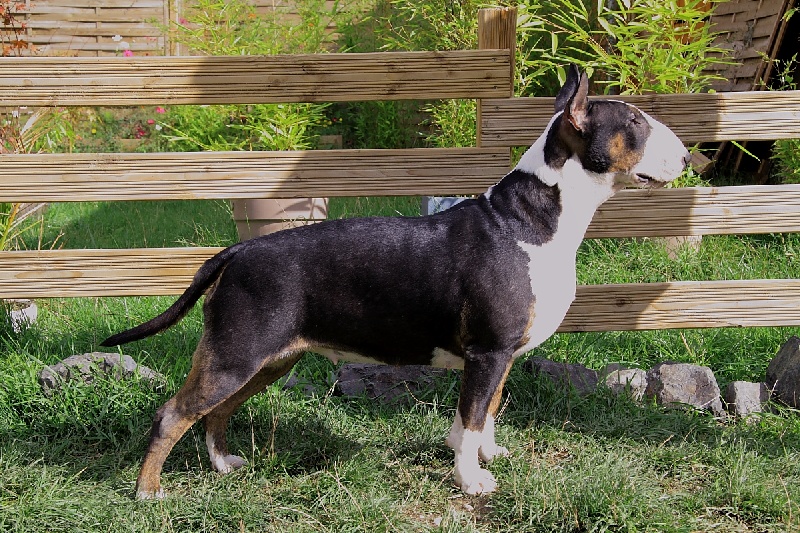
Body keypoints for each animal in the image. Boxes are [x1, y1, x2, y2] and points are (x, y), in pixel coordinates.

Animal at [102, 65, 690, 499]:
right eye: (634, 121)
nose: (688, 157)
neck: (531, 221)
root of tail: (239, 250)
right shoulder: (488, 351)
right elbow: (474, 417)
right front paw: (472, 480)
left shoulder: (500, 356)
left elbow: (484, 412)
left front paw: (487, 455)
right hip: (236, 354)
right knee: (173, 414)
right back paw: (149, 492)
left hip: (267, 360)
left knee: (216, 411)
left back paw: (224, 464)